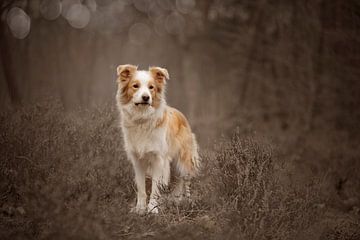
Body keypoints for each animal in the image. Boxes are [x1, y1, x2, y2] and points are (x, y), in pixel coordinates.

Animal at [115, 63, 200, 214]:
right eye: (135, 86)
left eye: (151, 87)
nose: (145, 97)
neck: (142, 119)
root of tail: (181, 115)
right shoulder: (138, 160)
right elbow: (141, 188)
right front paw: (140, 209)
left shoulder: (159, 160)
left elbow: (155, 188)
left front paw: (153, 209)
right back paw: (176, 200)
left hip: (184, 161)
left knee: (185, 182)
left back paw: (187, 203)